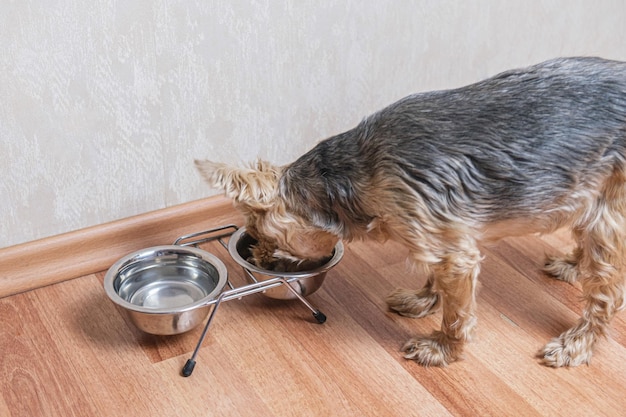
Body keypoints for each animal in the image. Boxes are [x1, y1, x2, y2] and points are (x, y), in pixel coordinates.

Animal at [195, 57, 624, 366]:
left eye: (261, 235)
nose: (255, 257)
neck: (349, 178)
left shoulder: (448, 245)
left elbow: (457, 310)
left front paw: (442, 348)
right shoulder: (439, 232)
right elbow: (437, 278)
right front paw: (423, 300)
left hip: (611, 203)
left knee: (607, 294)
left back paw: (575, 344)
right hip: (585, 189)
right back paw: (573, 265)